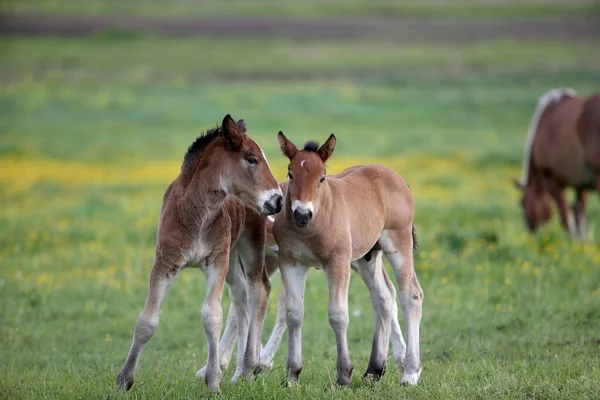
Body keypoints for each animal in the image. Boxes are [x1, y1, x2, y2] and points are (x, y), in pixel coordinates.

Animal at [117, 114, 286, 392]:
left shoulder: (216, 261)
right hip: (233, 256)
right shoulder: (166, 262)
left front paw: (213, 381)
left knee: (258, 291)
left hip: (250, 245)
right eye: (251, 158)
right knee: (240, 300)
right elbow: (147, 320)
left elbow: (211, 316)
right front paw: (124, 380)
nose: (278, 200)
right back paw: (241, 371)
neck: (197, 212)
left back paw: (251, 366)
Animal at [272, 133, 422, 386]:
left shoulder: (338, 262)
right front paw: (292, 375)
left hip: (398, 244)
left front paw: (344, 375)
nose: (302, 214)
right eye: (290, 173)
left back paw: (410, 373)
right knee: (383, 297)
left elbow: (338, 315)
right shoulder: (291, 263)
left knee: (410, 294)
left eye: (322, 177)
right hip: (367, 257)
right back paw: (374, 370)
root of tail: (398, 178)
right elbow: (293, 314)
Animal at [512, 88, 600, 239]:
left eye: (522, 203)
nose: (531, 231)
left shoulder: (553, 182)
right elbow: (580, 218)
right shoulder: (581, 186)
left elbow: (567, 219)